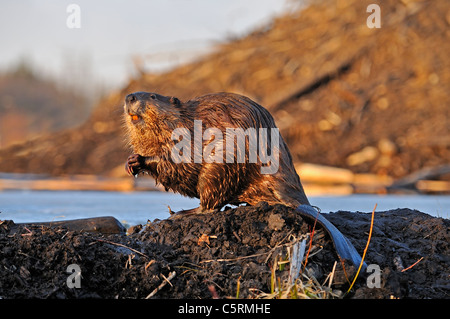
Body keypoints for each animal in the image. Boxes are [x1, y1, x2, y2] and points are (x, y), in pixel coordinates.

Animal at [125, 92, 364, 270]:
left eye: (153, 95)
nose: (129, 96)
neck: (185, 120)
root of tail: (300, 203)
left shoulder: (190, 138)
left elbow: (182, 162)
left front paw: (142, 159)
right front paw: (132, 161)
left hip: (222, 162)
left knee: (209, 205)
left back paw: (178, 214)